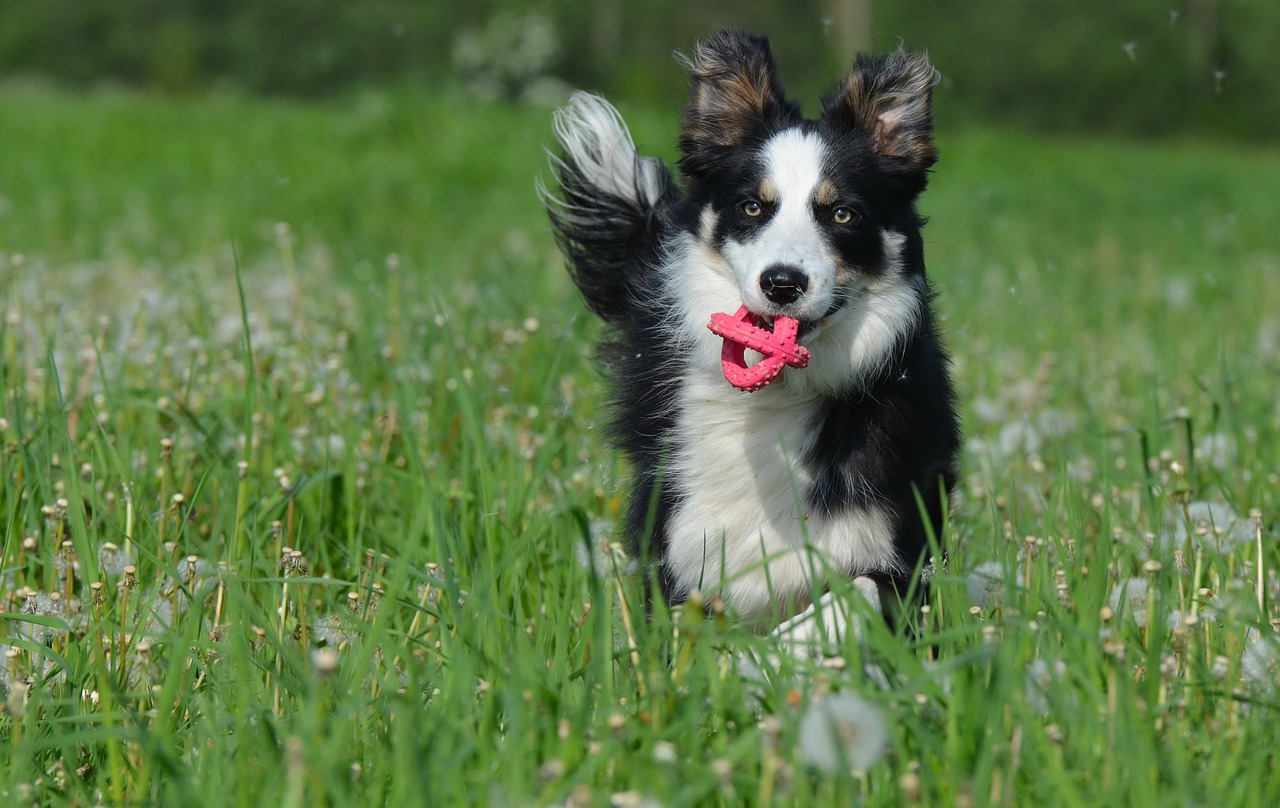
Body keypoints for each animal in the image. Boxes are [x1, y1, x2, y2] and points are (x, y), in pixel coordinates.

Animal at [542, 30, 962, 637]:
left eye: (842, 214)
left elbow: (854, 594)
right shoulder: (681, 536)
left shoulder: (892, 541)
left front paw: (787, 648)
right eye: (752, 207)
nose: (782, 284)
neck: (778, 397)